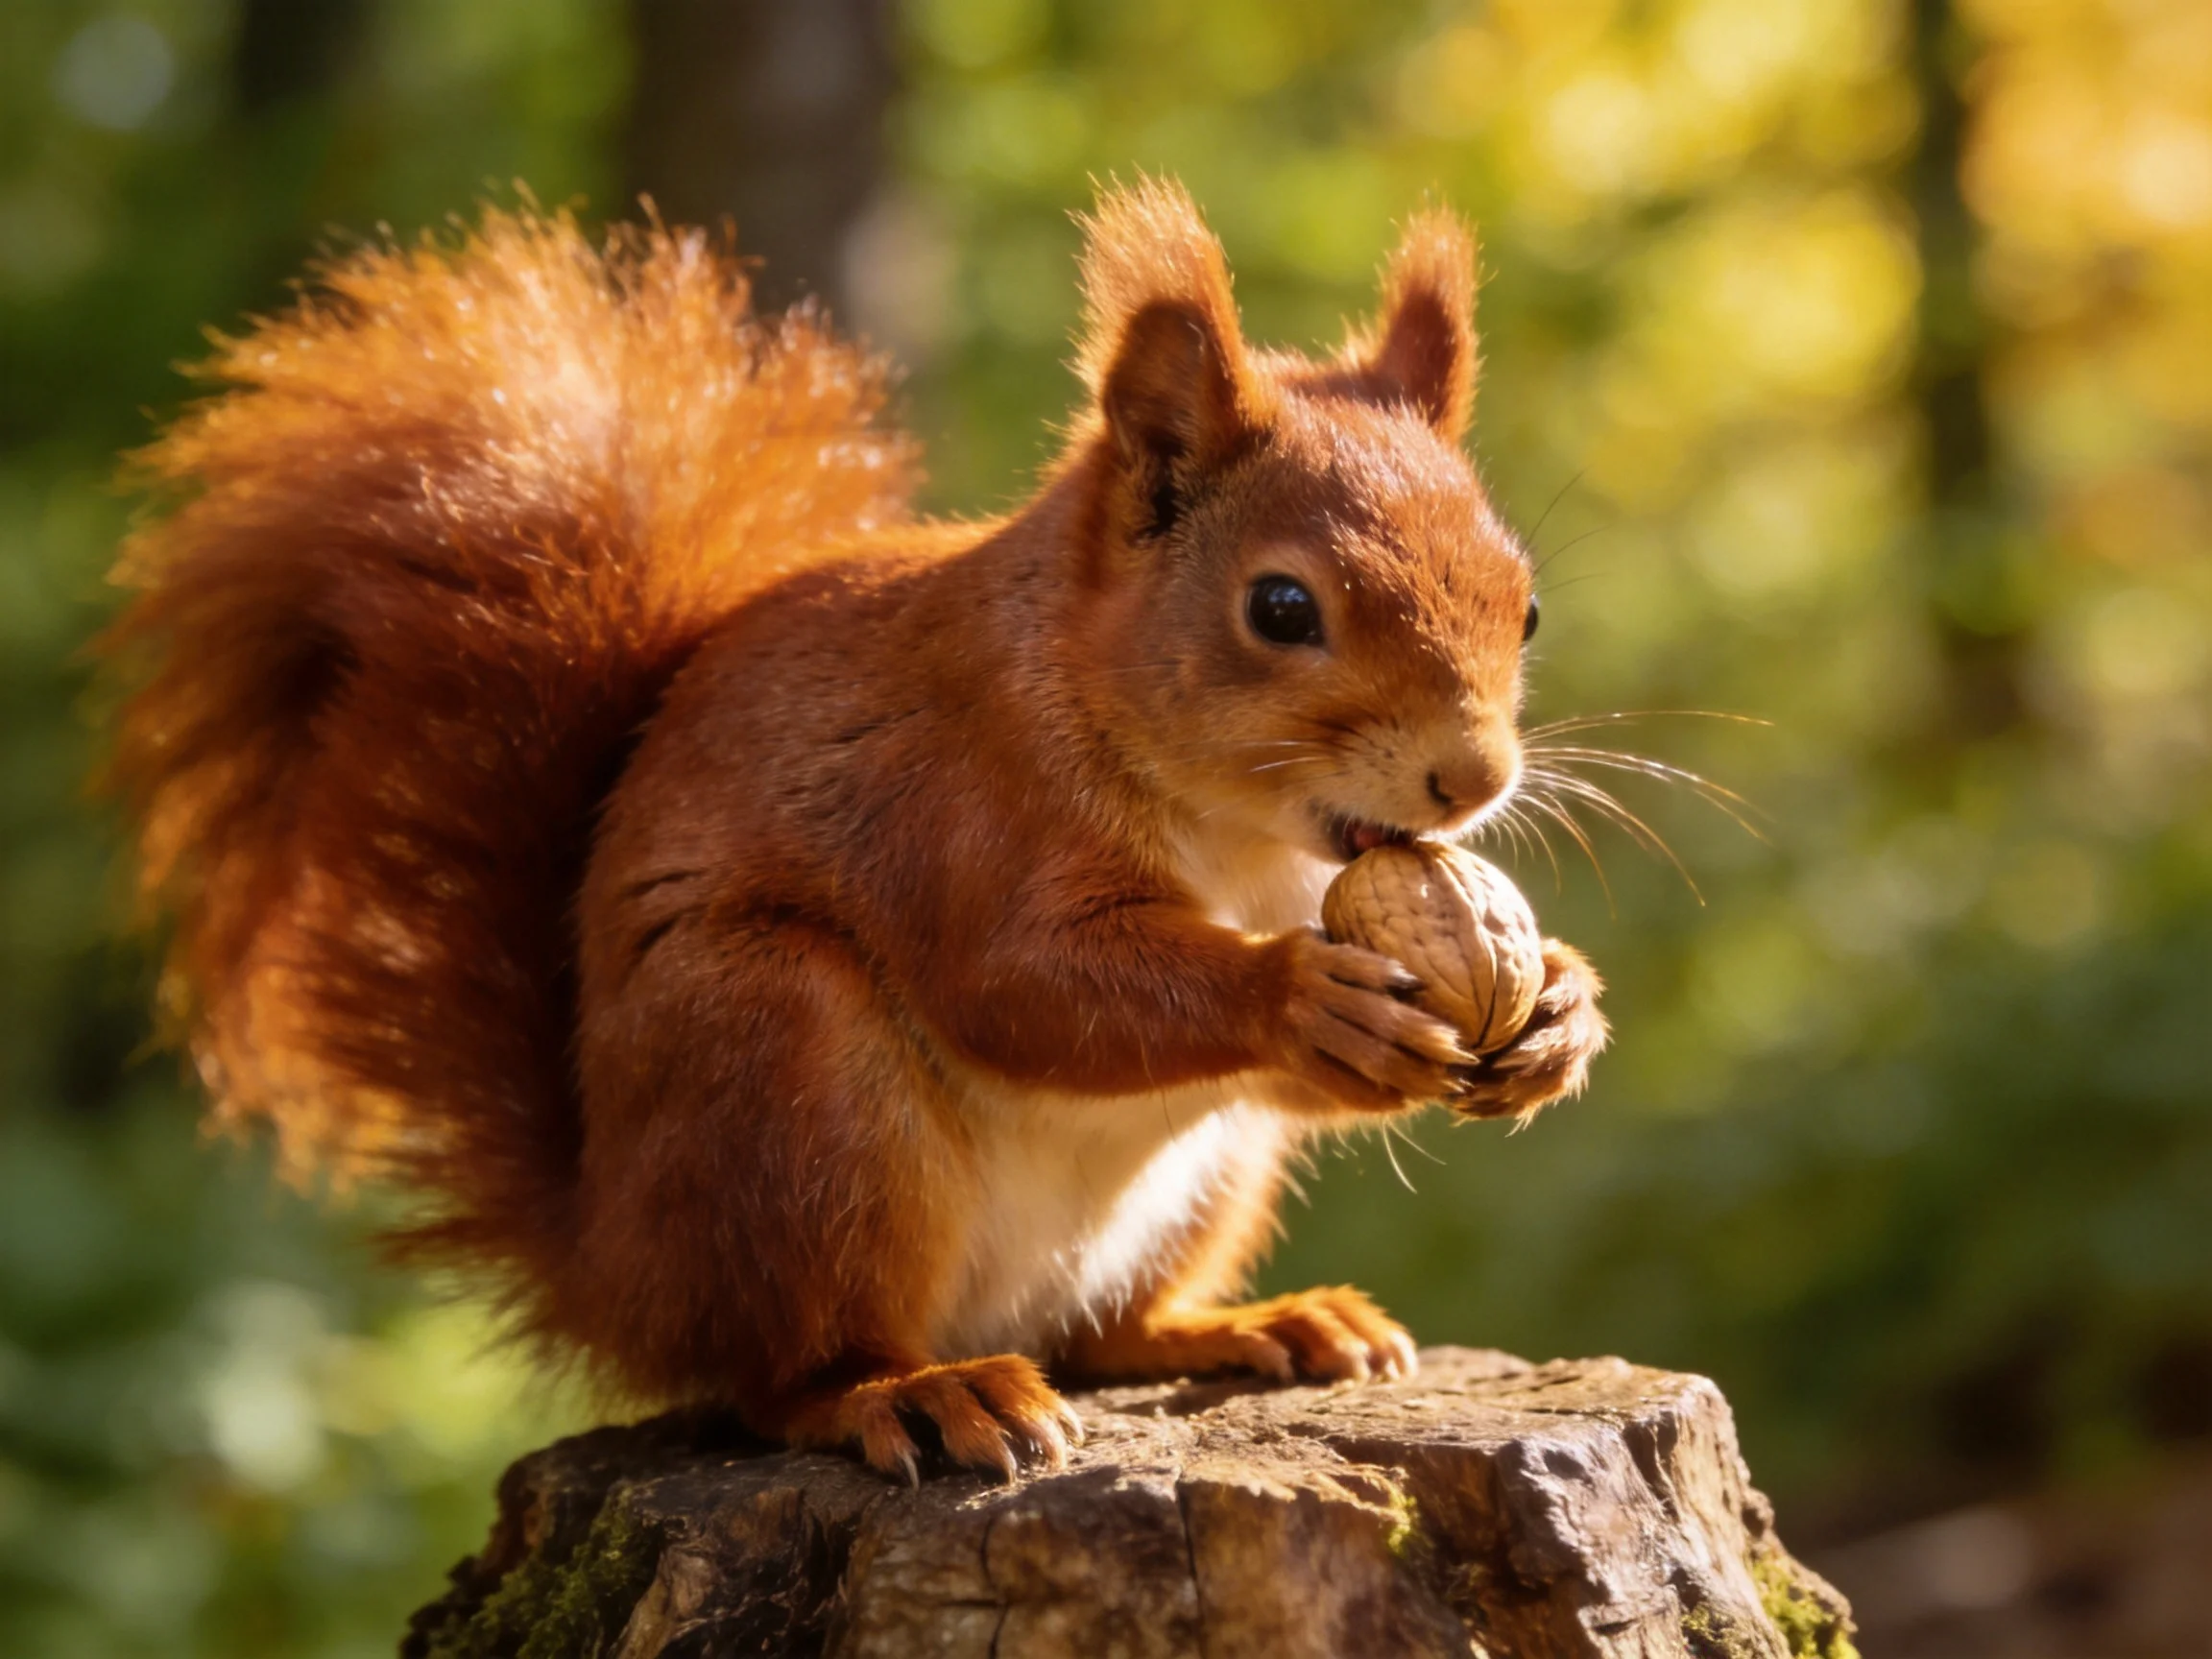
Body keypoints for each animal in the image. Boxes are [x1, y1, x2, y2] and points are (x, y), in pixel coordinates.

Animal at [102, 180, 1607, 1481]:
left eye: (1527, 605)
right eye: (1281, 609)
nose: (1472, 779)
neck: (1235, 835)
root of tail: (614, 1263)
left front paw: (1561, 1008)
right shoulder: (956, 800)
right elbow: (1025, 984)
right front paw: (1300, 997)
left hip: (1201, 1176)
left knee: (1102, 1334)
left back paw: (1254, 1325)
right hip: (787, 1078)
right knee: (786, 1376)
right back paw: (913, 1391)